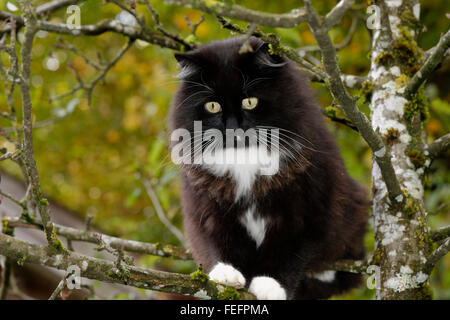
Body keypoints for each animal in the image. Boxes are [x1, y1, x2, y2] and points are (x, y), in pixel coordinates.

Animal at [169, 37, 370, 300]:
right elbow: (213, 245)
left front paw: (270, 285)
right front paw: (225, 275)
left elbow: (289, 256)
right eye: (212, 106)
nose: (232, 126)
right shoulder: (205, 210)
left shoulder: (309, 212)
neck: (244, 159)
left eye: (250, 102)